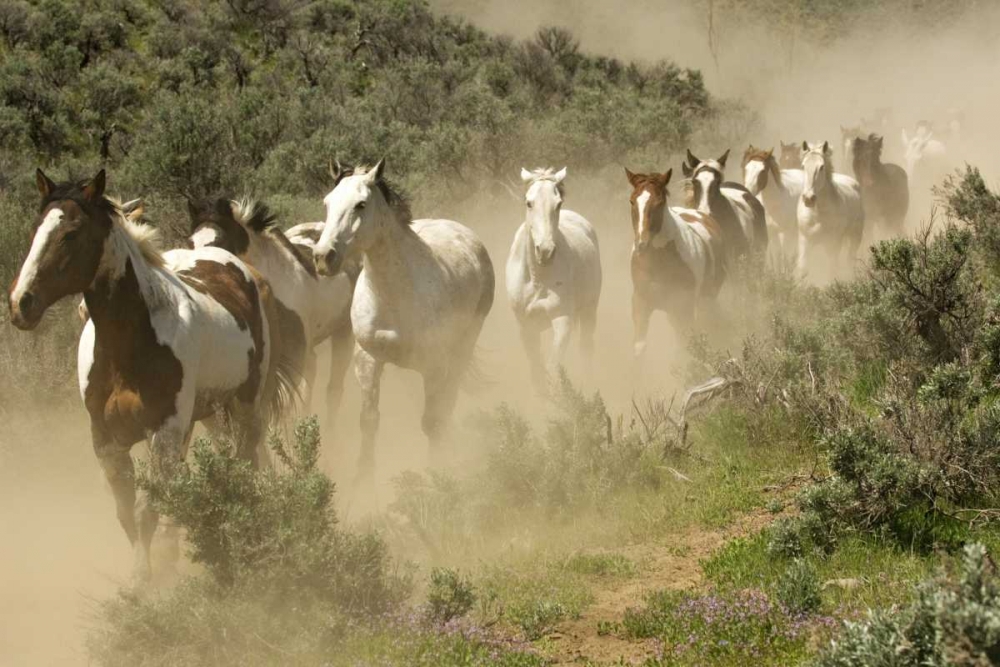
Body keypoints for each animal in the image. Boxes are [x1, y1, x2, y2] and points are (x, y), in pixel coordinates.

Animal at [312, 161, 492, 474]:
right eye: (327, 202)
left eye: (361, 204)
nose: (324, 257)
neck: (393, 293)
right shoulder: (368, 360)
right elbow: (369, 421)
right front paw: (364, 479)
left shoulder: (434, 366)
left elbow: (432, 422)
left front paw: (436, 472)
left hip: (464, 345)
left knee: (449, 399)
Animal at [508, 166, 600, 392]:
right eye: (529, 202)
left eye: (558, 204)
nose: (546, 251)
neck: (537, 279)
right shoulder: (525, 326)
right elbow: (536, 369)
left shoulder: (562, 320)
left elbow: (551, 366)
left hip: (589, 310)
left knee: (586, 347)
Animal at [620, 167, 724, 366]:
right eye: (632, 201)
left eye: (659, 202)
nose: (641, 244)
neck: (659, 264)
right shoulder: (640, 303)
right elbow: (640, 348)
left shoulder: (684, 307)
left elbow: (685, 347)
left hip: (706, 299)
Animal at [796, 141, 868, 280]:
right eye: (803, 166)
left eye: (821, 167)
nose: (808, 198)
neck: (817, 213)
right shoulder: (805, 239)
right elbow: (802, 269)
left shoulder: (833, 243)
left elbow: (832, 269)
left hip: (855, 236)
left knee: (849, 260)